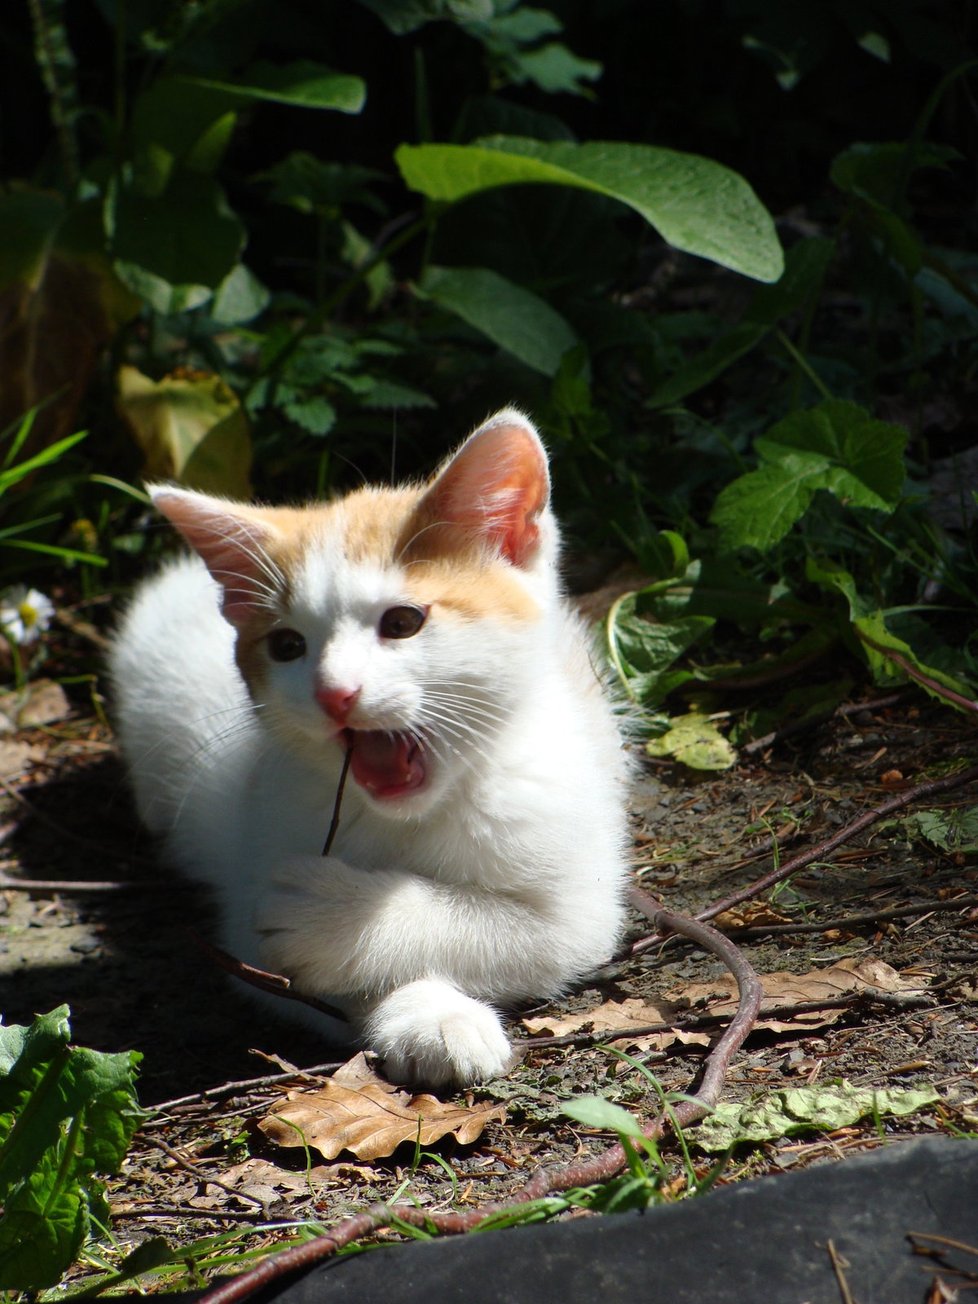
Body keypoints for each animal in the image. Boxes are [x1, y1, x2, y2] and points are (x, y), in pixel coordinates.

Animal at [110, 409, 631, 1090]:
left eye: (403, 623)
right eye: (286, 646)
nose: (335, 692)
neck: (417, 815)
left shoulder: (582, 903)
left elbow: (517, 930)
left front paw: (343, 921)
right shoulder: (247, 915)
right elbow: (297, 981)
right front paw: (428, 1012)